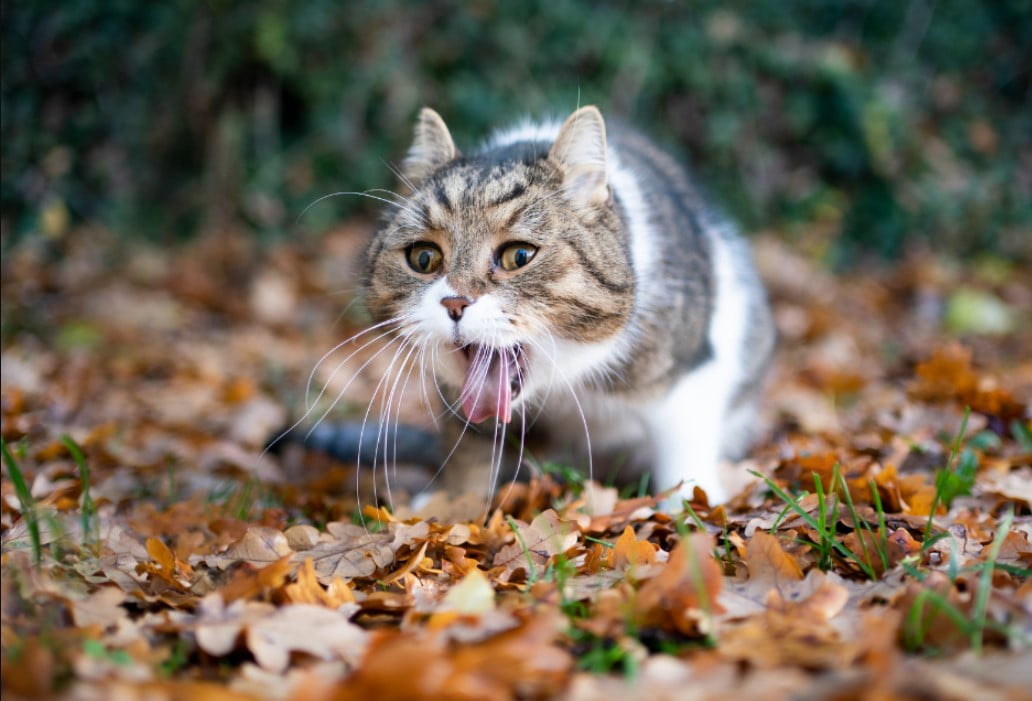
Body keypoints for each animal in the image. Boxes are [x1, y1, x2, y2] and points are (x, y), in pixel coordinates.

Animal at [326, 105, 771, 503]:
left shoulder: (692, 370)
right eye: (423, 258)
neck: (564, 382)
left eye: (519, 256)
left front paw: (692, 511)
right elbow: (469, 452)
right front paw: (455, 506)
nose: (454, 302)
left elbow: (684, 452)